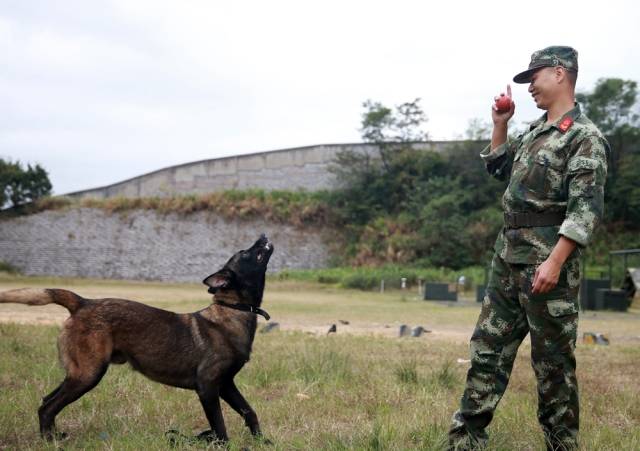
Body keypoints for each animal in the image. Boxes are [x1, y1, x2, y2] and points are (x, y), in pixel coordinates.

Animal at [0, 235, 272, 444]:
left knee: (46, 402)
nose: (262, 236)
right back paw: (49, 441)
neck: (234, 309)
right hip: (88, 374)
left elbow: (249, 412)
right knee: (48, 407)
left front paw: (263, 442)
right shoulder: (207, 387)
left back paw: (55, 436)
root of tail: (82, 302)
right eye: (244, 253)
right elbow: (220, 428)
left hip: (78, 373)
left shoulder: (226, 384)